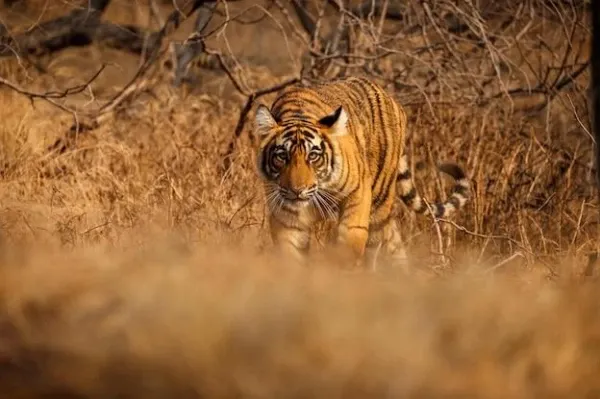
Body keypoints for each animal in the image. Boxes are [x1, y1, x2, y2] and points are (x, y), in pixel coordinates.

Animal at [253, 76, 468, 268]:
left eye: (313, 156)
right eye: (282, 156)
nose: (297, 190)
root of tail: (388, 96)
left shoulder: (358, 192)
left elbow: (349, 239)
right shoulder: (287, 219)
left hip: (379, 201)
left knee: (377, 241)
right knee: (394, 240)